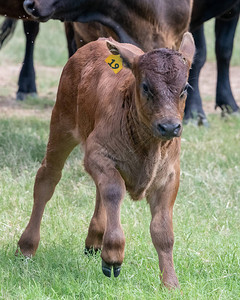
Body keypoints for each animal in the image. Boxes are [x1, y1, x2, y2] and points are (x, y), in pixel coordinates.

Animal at [18, 32, 195, 288]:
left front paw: (170, 284)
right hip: (61, 123)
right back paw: (26, 247)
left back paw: (94, 240)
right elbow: (113, 191)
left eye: (185, 88)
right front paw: (113, 255)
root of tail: (97, 41)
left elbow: (162, 231)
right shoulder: (96, 153)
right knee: (47, 179)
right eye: (145, 86)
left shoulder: (170, 176)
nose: (170, 126)